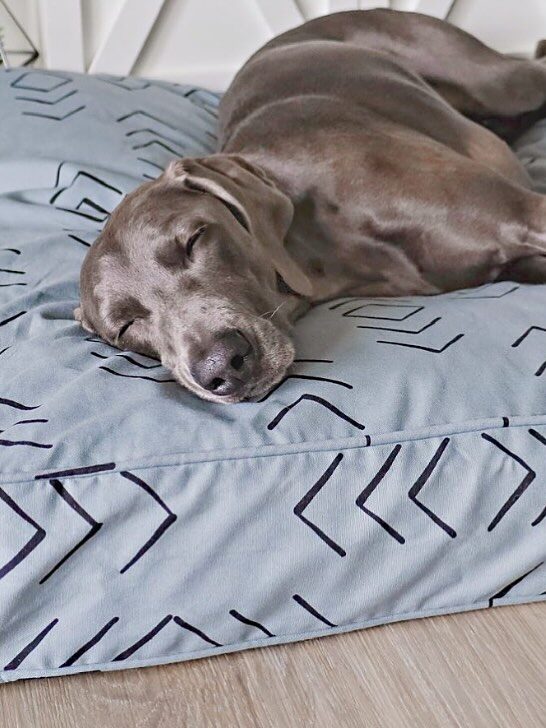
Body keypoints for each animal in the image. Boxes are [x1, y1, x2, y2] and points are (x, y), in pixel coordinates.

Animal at [74, 8, 544, 404]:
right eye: (125, 327)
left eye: (194, 239)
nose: (221, 364)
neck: (324, 239)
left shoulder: (525, 213)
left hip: (496, 79)